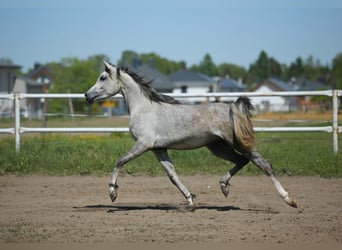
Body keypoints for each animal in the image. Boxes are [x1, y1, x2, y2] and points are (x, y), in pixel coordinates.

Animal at [85, 62, 296, 209]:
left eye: (103, 77)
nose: (87, 96)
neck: (144, 108)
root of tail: (231, 108)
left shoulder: (144, 144)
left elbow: (119, 161)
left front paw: (112, 193)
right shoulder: (158, 149)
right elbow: (172, 175)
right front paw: (190, 200)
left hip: (237, 143)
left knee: (264, 164)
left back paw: (289, 199)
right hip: (218, 147)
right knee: (242, 161)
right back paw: (224, 186)